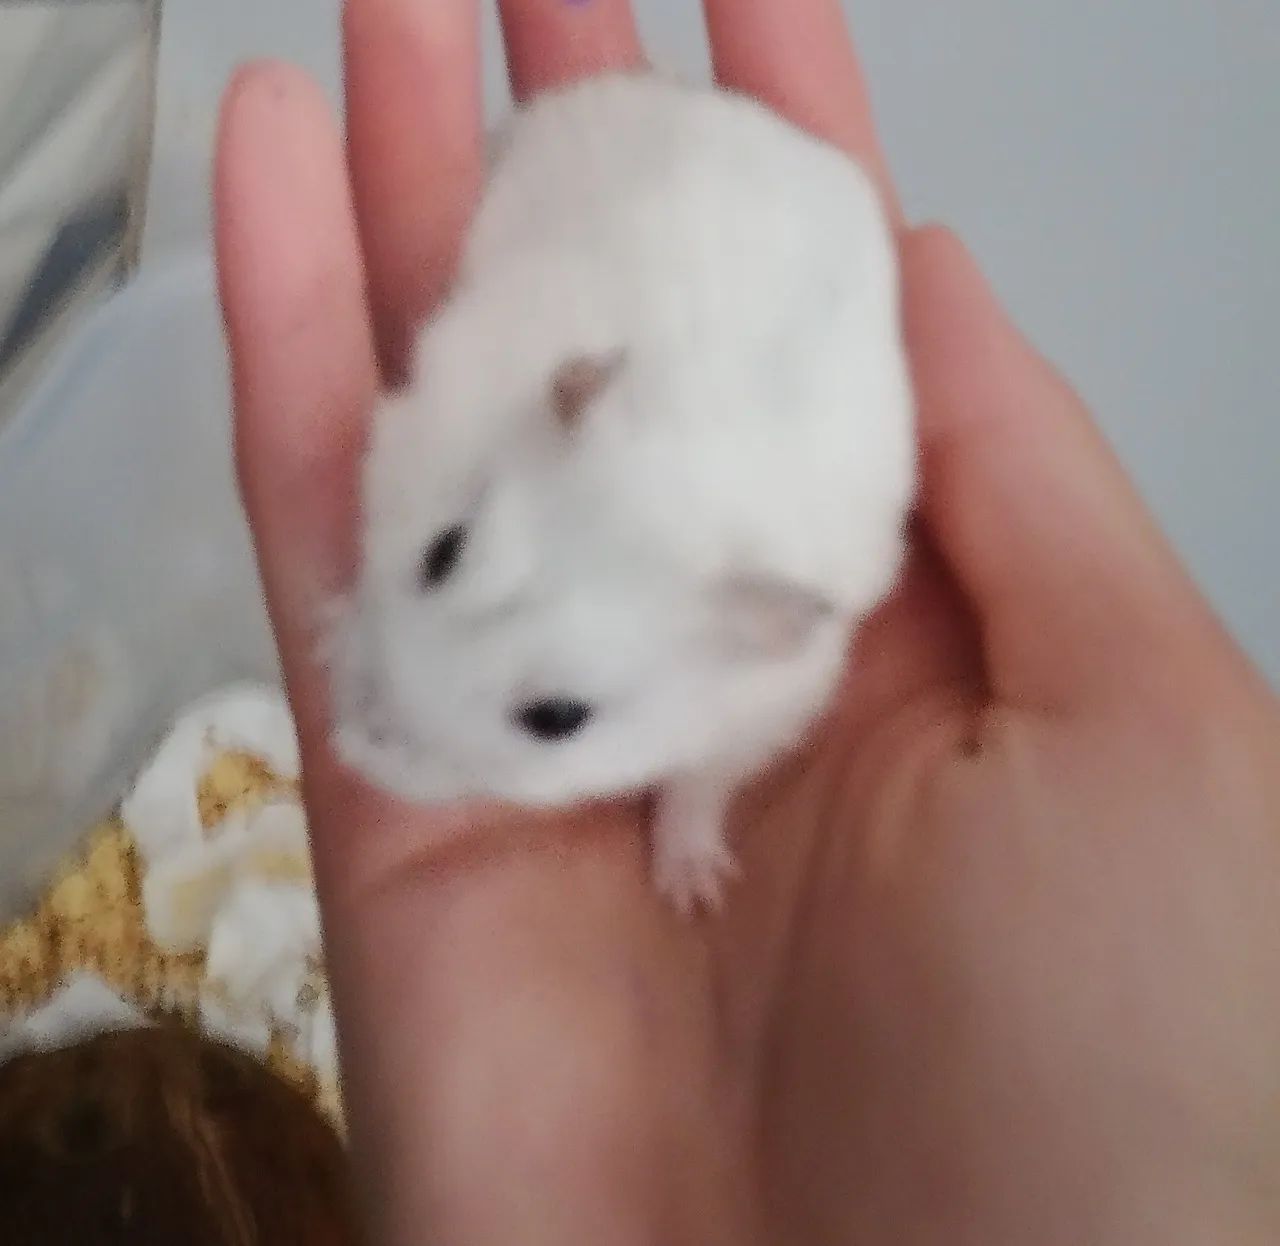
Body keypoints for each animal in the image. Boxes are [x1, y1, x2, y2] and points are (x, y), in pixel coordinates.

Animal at [329, 71, 915, 913]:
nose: (353, 740)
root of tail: (784, 132)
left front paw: (693, 894)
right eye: (440, 552)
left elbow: (699, 785)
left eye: (557, 720)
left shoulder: (757, 718)